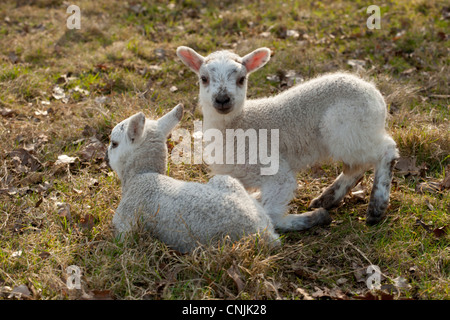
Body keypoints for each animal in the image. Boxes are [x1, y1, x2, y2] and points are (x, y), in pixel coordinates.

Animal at [105, 104, 304, 252]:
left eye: (114, 143)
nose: (106, 156)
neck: (141, 174)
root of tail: (265, 233)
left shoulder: (125, 221)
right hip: (226, 181)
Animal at [178, 46, 400, 229]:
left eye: (242, 79)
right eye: (203, 78)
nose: (222, 99)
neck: (239, 124)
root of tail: (375, 93)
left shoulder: (273, 169)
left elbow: (272, 216)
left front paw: (310, 219)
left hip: (348, 128)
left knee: (386, 150)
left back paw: (376, 208)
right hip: (354, 134)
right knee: (357, 165)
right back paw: (327, 199)